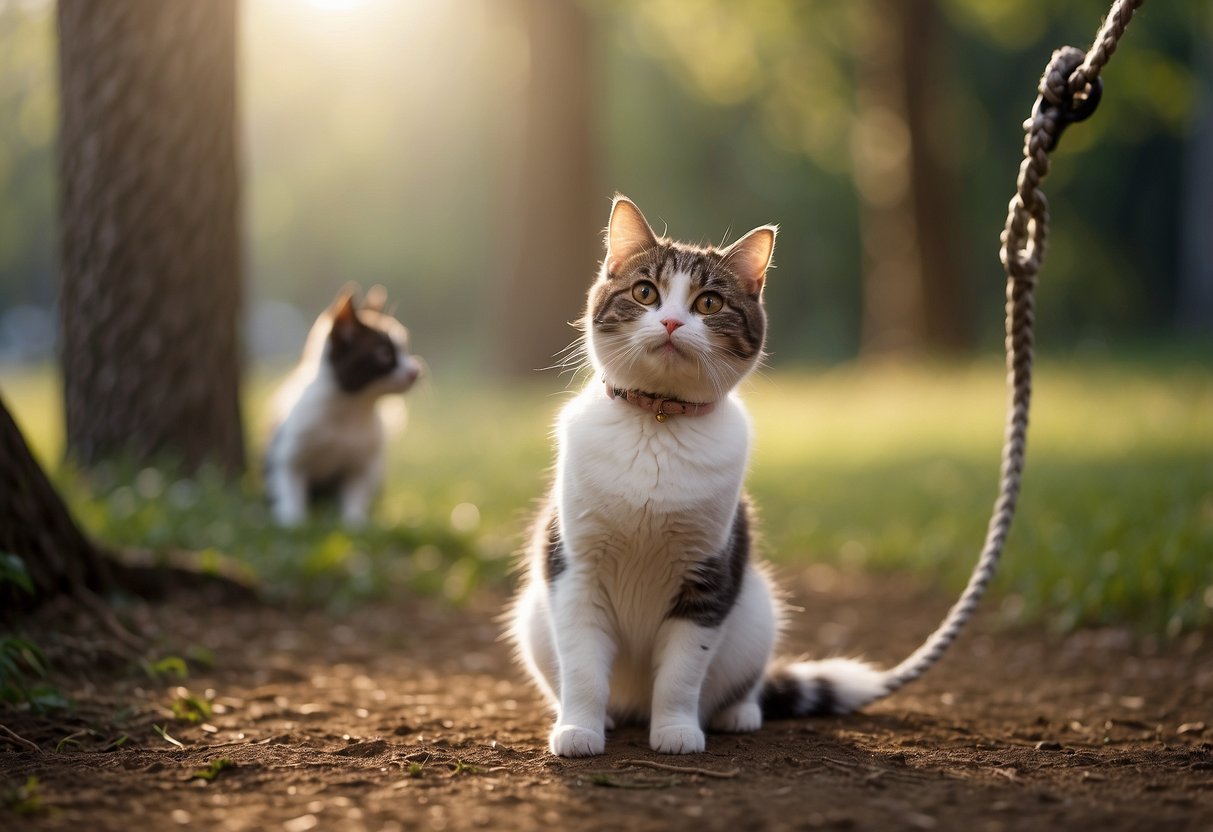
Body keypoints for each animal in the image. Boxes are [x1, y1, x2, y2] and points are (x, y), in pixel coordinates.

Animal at [265, 286, 422, 528]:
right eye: (384, 353)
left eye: (405, 349)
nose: (415, 370)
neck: (352, 408)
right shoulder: (289, 456)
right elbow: (290, 488)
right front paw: (293, 522)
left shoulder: (359, 465)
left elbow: (355, 495)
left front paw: (355, 523)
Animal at [507, 198, 887, 761]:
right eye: (646, 292)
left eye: (708, 303)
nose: (669, 321)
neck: (658, 422)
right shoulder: (575, 571)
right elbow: (582, 668)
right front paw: (579, 730)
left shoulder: (709, 577)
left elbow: (682, 673)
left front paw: (676, 731)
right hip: (534, 614)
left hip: (757, 611)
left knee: (738, 684)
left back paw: (738, 713)